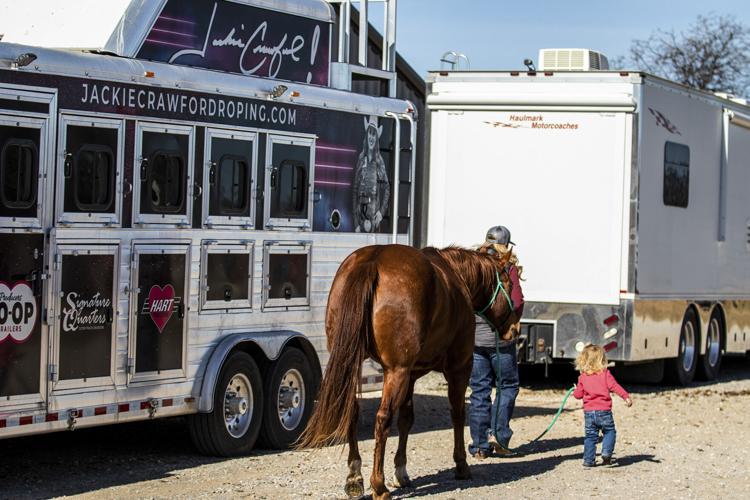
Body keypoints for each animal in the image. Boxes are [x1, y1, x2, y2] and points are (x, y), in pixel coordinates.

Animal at [296, 243, 518, 499]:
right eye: (510, 285)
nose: (514, 329)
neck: (456, 277)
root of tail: (373, 260)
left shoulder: (411, 375)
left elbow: (406, 419)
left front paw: (401, 472)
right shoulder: (459, 367)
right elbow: (458, 413)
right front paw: (461, 465)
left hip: (353, 364)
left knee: (352, 410)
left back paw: (355, 477)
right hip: (396, 371)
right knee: (383, 419)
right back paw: (378, 485)